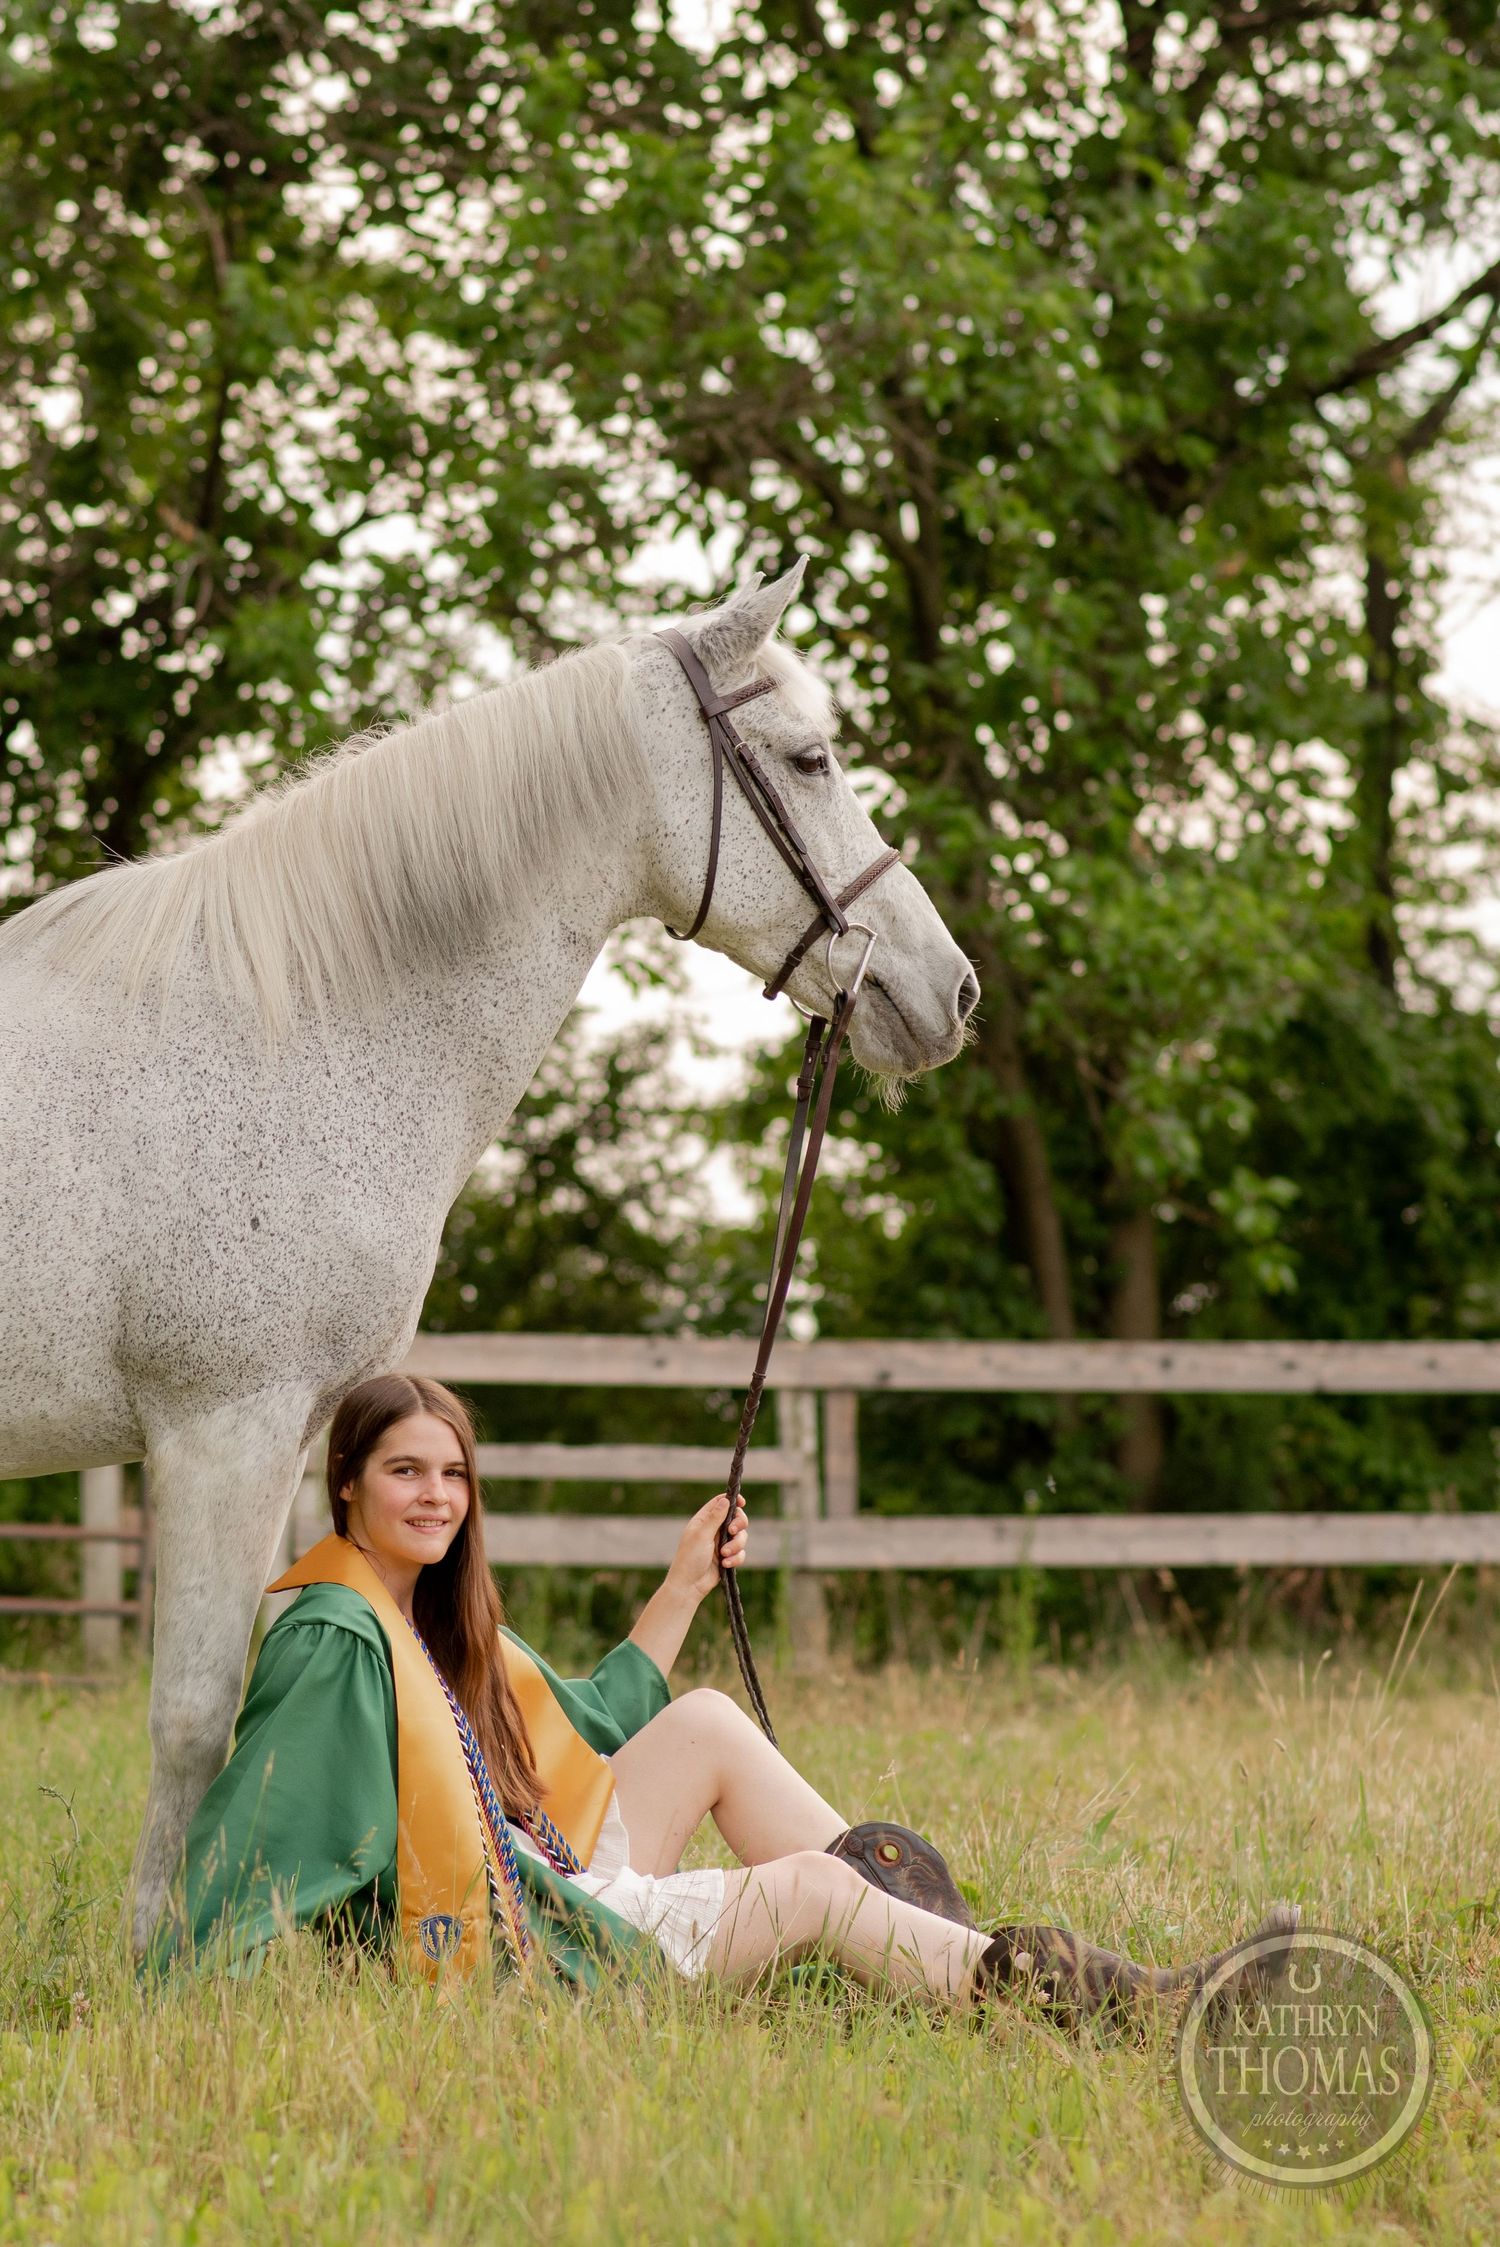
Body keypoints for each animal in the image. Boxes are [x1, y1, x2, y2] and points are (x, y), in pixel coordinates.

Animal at [0, 559, 979, 1952]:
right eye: (812, 757)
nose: (950, 991)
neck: (288, 1028)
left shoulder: (293, 1430)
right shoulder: (219, 1426)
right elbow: (192, 1720)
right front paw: (165, 1960)